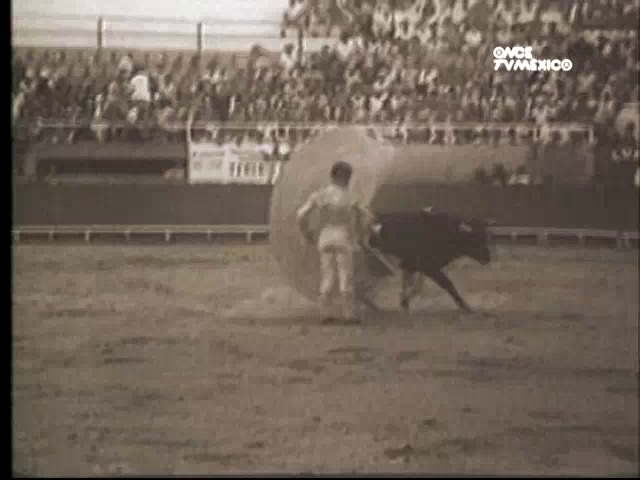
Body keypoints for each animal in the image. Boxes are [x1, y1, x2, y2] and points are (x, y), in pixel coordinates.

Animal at [360, 208, 496, 314]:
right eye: (475, 240)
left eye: (486, 237)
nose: (487, 258)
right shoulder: (429, 268)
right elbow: (448, 284)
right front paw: (465, 306)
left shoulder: (414, 267)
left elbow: (416, 287)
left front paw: (404, 303)